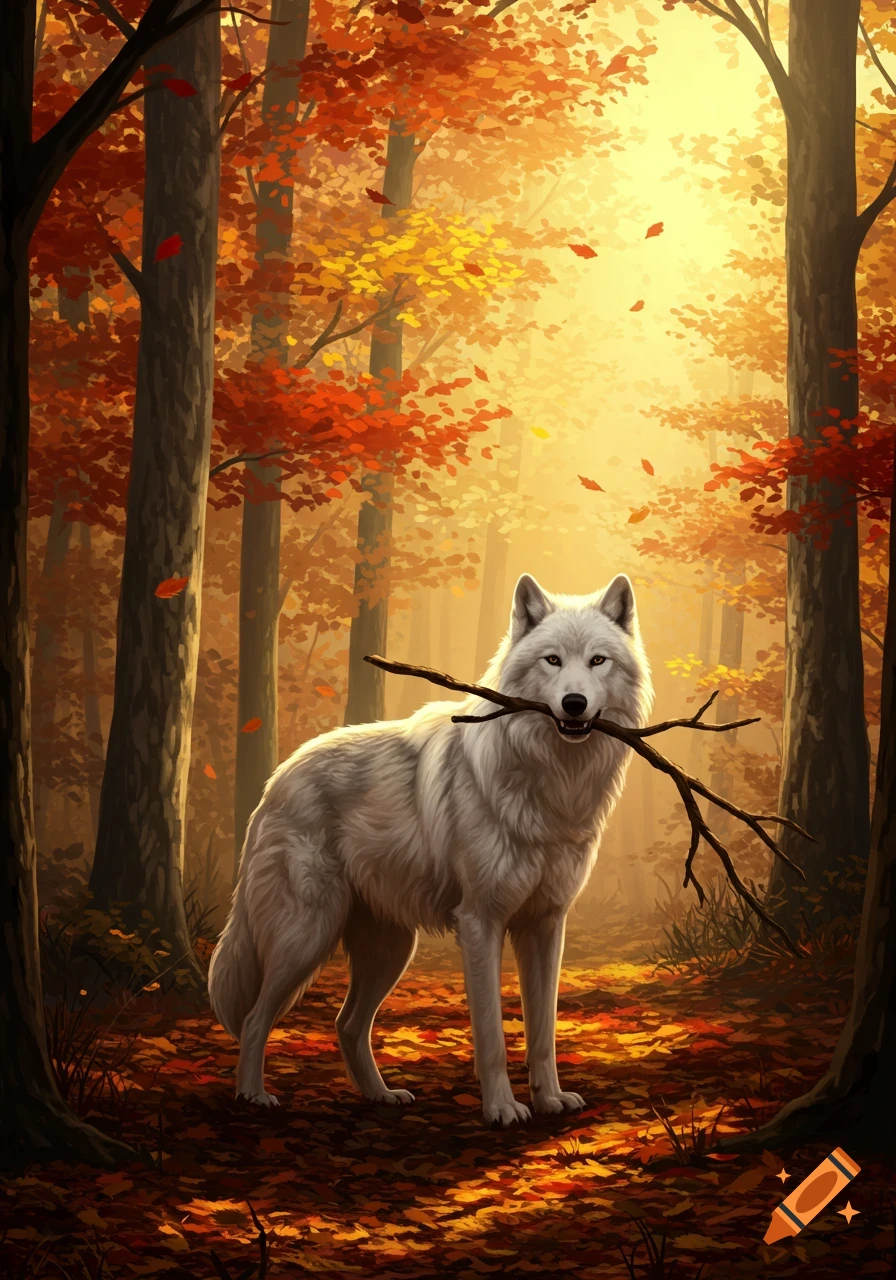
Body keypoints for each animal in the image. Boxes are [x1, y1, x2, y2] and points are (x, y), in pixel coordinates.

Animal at [208, 572, 653, 1126]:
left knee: (346, 1024)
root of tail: (276, 780)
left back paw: (380, 1096)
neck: (550, 780)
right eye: (552, 660)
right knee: (254, 1018)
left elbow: (543, 1030)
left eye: (597, 661)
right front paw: (503, 1109)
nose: (573, 703)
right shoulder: (481, 922)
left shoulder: (546, 925)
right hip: (305, 936)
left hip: (390, 950)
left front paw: (549, 1099)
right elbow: (491, 1034)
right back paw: (253, 1096)